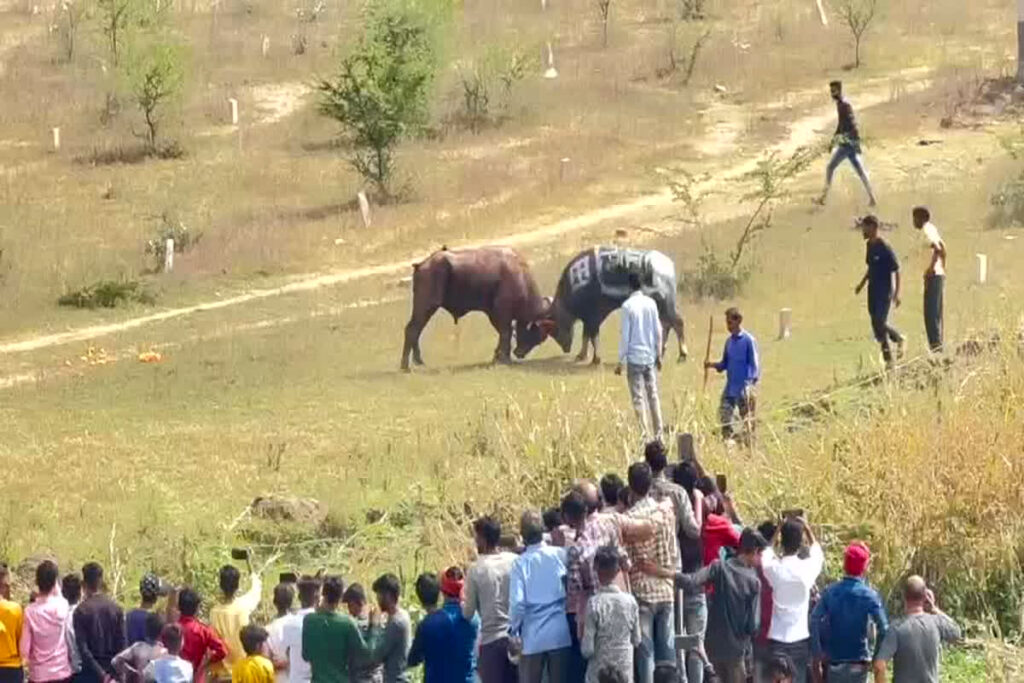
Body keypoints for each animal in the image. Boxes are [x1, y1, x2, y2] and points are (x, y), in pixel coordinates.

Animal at [399, 245, 552, 370]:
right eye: (537, 335)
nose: (520, 354)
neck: (519, 276)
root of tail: (421, 265)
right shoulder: (501, 314)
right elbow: (506, 334)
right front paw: (504, 359)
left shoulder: (494, 315)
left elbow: (503, 335)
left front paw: (498, 357)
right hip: (426, 306)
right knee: (412, 329)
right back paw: (406, 366)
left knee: (416, 331)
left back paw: (418, 362)